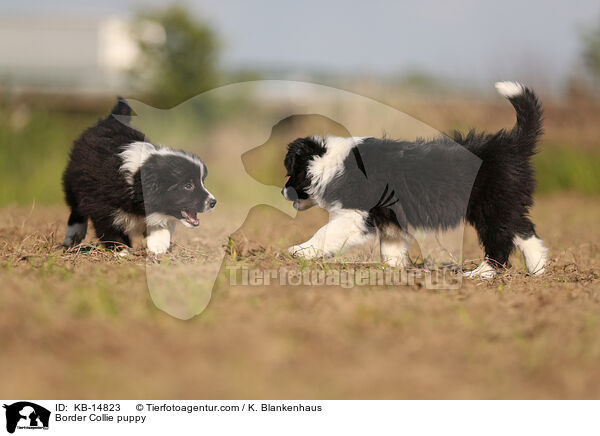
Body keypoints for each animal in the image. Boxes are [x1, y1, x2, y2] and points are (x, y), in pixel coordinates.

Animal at [60, 98, 216, 255]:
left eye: (202, 182)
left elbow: (160, 224)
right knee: (76, 208)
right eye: (188, 186)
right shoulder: (101, 204)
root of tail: (110, 120)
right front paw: (120, 249)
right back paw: (73, 236)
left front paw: (158, 245)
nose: (213, 202)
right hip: (74, 182)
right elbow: (108, 227)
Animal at [282, 82, 548, 280]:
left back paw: (481, 273)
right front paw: (394, 269)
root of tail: (509, 145)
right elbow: (391, 245)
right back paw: (538, 270)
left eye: (290, 172)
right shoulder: (389, 217)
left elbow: (324, 233)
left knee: (500, 241)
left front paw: (298, 251)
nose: (283, 192)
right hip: (506, 204)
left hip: (490, 207)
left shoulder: (354, 215)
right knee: (525, 231)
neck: (329, 162)